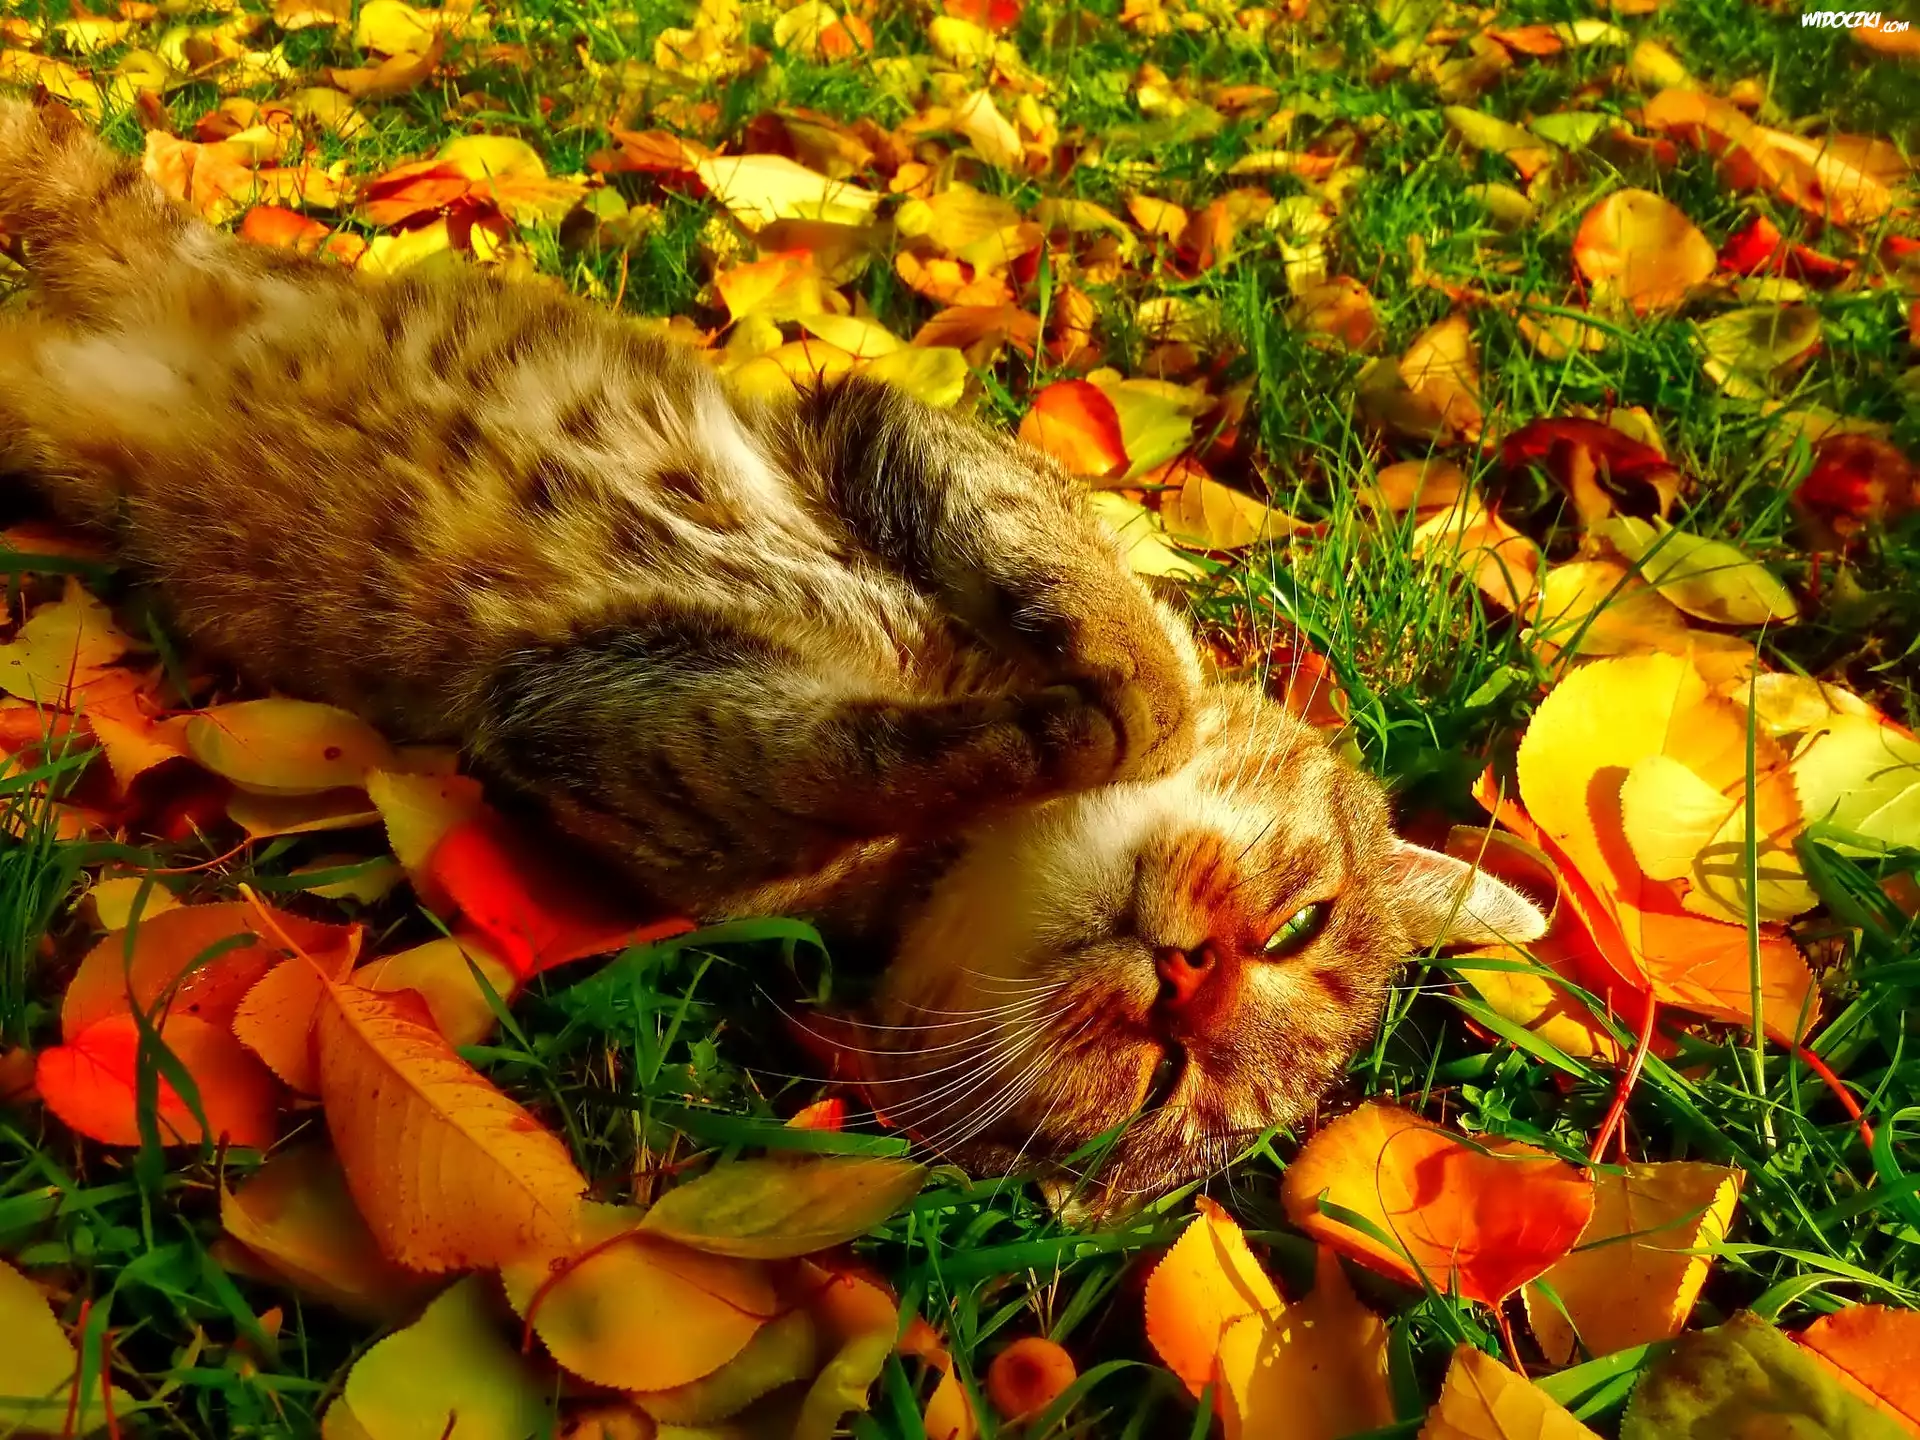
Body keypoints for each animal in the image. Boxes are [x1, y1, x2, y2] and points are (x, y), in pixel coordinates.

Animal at [0, 93, 1546, 1197]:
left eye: (1158, 1102)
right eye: (1299, 928)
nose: (1195, 981)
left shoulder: (590, 733)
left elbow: (843, 757)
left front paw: (1046, 730)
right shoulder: (876, 423)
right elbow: (1111, 616)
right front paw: (1126, 692)